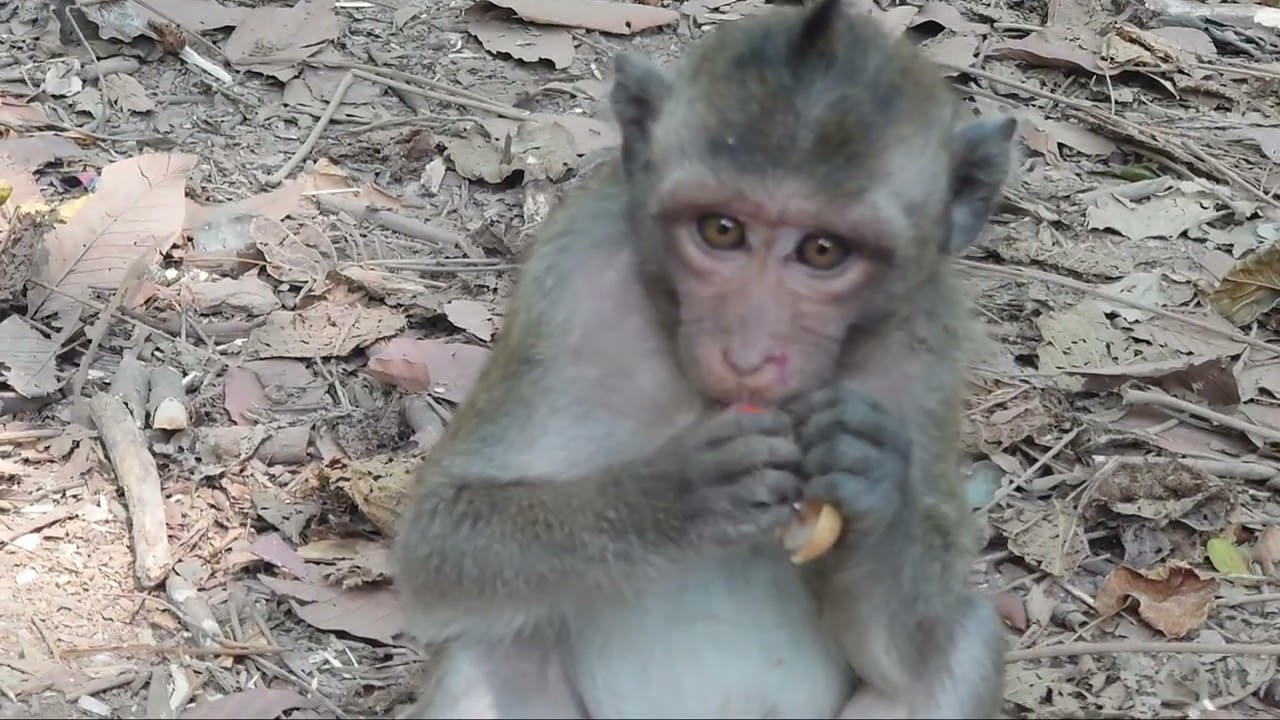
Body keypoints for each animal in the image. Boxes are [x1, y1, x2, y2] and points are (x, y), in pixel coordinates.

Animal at [390, 0, 1016, 717]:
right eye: (722, 231)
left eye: (823, 250)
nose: (747, 355)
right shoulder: (568, 279)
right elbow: (439, 541)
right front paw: (674, 495)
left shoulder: (929, 345)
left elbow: (912, 648)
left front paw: (871, 474)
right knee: (491, 648)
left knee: (963, 640)